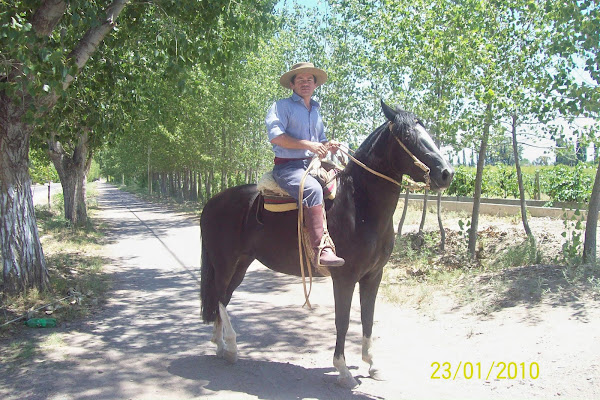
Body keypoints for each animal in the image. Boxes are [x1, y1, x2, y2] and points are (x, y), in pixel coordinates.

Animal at [199, 101, 452, 390]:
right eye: (408, 136)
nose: (447, 173)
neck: (358, 204)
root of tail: (212, 202)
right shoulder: (345, 277)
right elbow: (342, 321)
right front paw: (343, 370)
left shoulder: (373, 276)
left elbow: (368, 317)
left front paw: (372, 363)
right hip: (225, 262)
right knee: (220, 298)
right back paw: (230, 347)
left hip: (241, 263)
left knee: (223, 298)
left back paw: (219, 344)